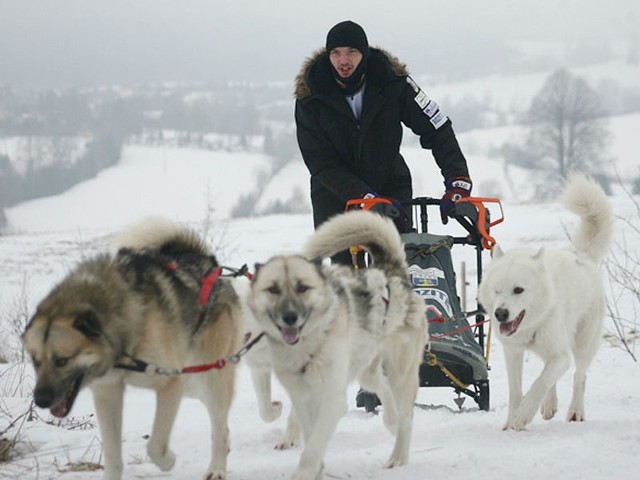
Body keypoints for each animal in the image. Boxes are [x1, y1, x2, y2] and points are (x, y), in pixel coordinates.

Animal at [248, 212, 428, 478]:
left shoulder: (331, 398)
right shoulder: (300, 395)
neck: (307, 348)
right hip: (365, 369)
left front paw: (305, 472)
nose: (290, 316)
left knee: (407, 417)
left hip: (400, 372)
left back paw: (398, 458)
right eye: (273, 289)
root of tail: (389, 272)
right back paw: (390, 420)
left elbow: (312, 448)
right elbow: (307, 434)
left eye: (303, 287)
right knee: (382, 388)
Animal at [478, 173, 612, 432]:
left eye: (518, 290)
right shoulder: (513, 353)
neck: (533, 324)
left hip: (583, 344)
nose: (500, 314)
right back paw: (550, 405)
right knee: (551, 374)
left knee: (579, 376)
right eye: (497, 290)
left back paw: (575, 411)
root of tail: (582, 255)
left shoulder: (561, 355)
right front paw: (511, 421)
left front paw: (522, 416)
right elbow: (516, 390)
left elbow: (539, 382)